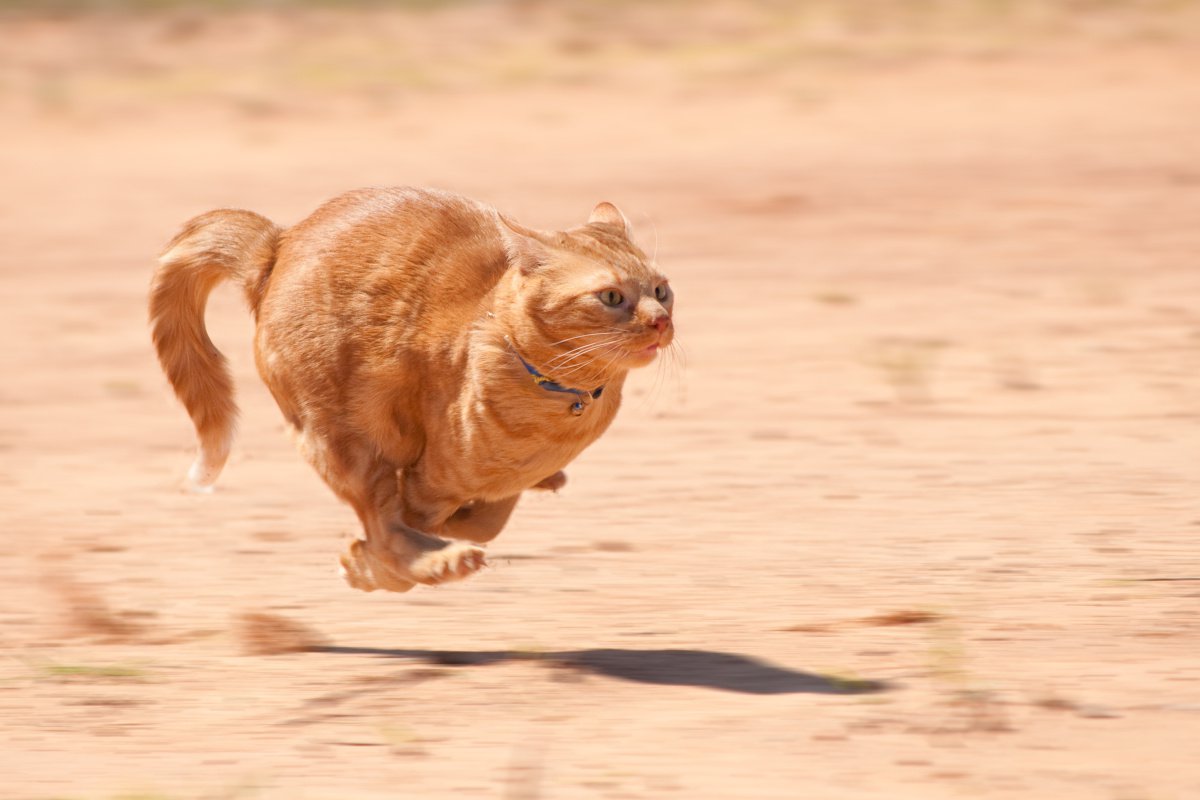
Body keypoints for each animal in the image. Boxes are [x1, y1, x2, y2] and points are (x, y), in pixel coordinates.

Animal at [151, 184, 676, 592]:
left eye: (661, 290)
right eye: (611, 296)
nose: (661, 321)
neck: (567, 402)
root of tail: (277, 243)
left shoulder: (497, 480)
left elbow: (489, 517)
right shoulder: (427, 477)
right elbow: (404, 529)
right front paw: (370, 566)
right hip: (346, 435)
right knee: (385, 526)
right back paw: (439, 561)